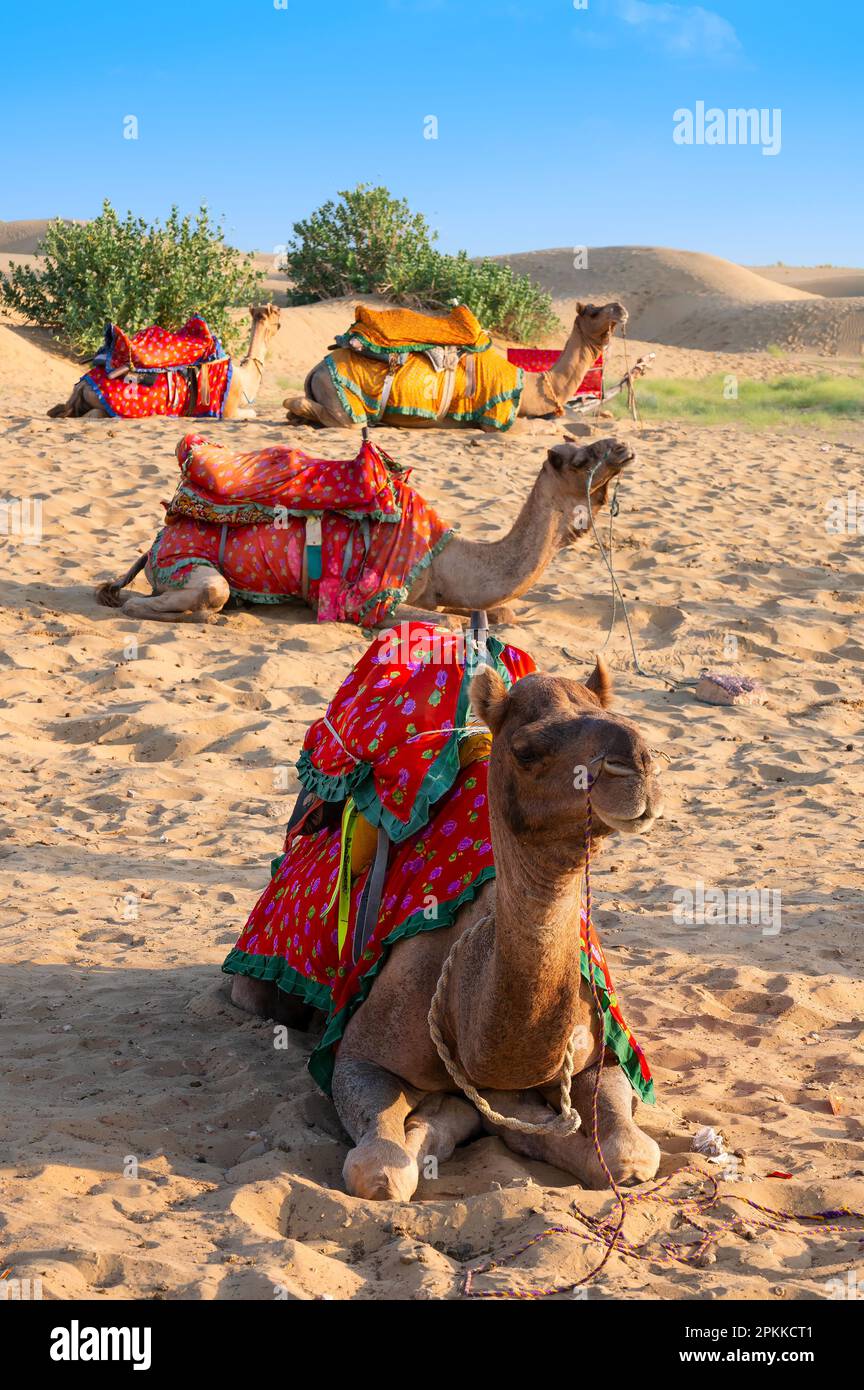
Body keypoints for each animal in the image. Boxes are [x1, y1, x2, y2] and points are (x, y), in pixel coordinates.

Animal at [47, 304, 281, 420]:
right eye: (277, 317)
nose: (281, 323)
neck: (244, 379)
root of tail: (83, 384)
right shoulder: (228, 410)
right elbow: (252, 412)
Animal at [93, 436, 634, 625]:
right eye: (581, 458)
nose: (624, 446)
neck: (448, 557)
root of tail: (161, 536)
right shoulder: (380, 601)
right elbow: (455, 623)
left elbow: (498, 612)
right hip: (184, 563)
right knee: (196, 595)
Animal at [231, 658, 664, 1197]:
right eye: (526, 750)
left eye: (623, 718)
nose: (638, 763)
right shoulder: (356, 1057)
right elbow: (381, 1167)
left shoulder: (605, 1053)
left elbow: (630, 1154)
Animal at [283, 301, 627, 430]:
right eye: (593, 311)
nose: (620, 308)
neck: (530, 385)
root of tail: (317, 368)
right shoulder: (496, 419)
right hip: (342, 398)